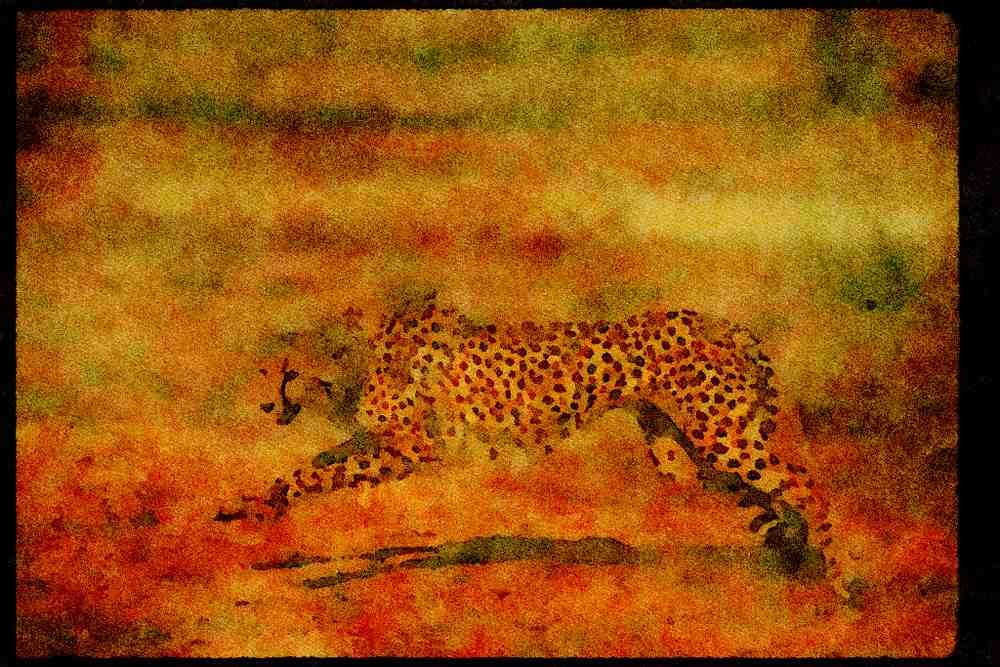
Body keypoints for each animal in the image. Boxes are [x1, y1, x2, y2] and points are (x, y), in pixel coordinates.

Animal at [216, 293, 859, 599]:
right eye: (269, 371)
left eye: (285, 372)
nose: (266, 408)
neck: (359, 355)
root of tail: (726, 323)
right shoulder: (382, 440)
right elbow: (312, 466)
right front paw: (248, 506)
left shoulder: (413, 449)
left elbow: (321, 474)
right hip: (688, 455)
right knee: (775, 494)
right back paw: (792, 553)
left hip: (720, 437)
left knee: (807, 484)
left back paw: (839, 579)